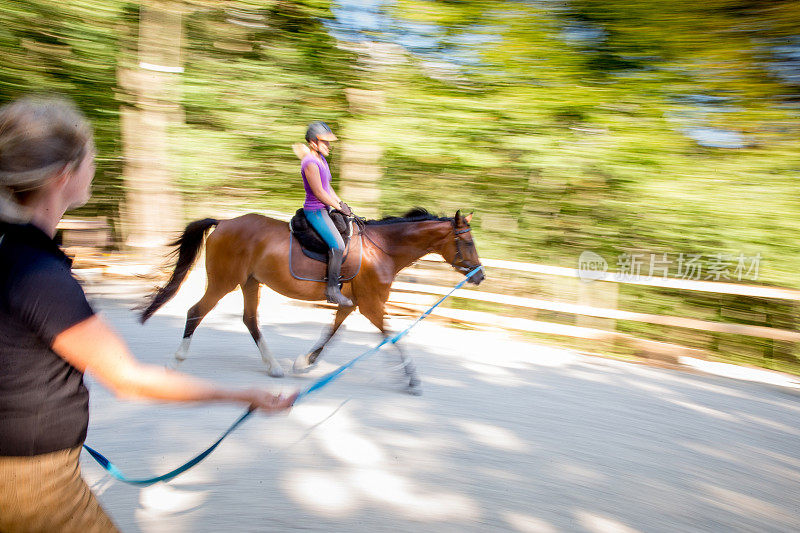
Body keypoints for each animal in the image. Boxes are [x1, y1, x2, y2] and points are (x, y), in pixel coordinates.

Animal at [139, 206, 482, 392]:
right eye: (467, 242)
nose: (480, 276)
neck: (383, 249)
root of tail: (223, 223)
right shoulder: (371, 306)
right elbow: (394, 337)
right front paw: (413, 380)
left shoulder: (353, 304)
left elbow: (332, 331)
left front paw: (305, 362)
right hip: (224, 281)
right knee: (196, 311)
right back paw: (175, 360)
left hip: (250, 282)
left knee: (250, 320)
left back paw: (273, 366)